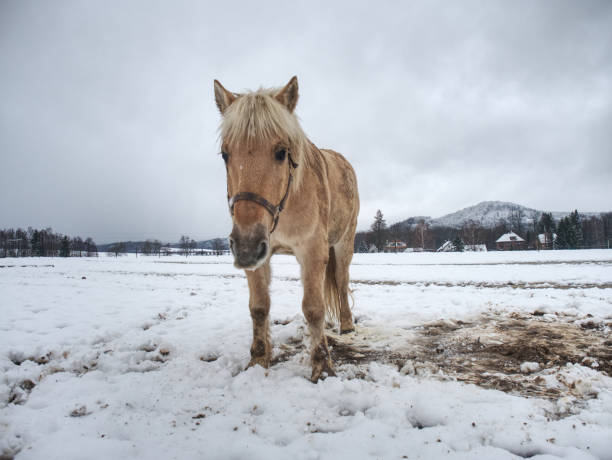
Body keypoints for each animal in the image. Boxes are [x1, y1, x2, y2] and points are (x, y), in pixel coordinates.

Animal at [214, 77, 358, 382]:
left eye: (281, 152)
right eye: (225, 154)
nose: (245, 248)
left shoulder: (312, 251)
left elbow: (313, 308)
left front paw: (322, 366)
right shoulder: (259, 252)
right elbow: (259, 308)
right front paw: (258, 360)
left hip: (344, 243)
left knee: (341, 282)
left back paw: (347, 324)